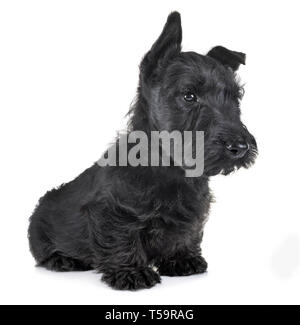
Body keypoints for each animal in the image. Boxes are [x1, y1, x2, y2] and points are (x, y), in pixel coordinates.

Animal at [28, 12, 258, 288]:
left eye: (236, 97)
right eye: (189, 95)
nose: (240, 146)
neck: (171, 168)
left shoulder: (191, 212)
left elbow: (186, 233)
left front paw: (182, 259)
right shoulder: (111, 211)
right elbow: (121, 237)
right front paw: (131, 272)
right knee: (43, 252)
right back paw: (63, 259)